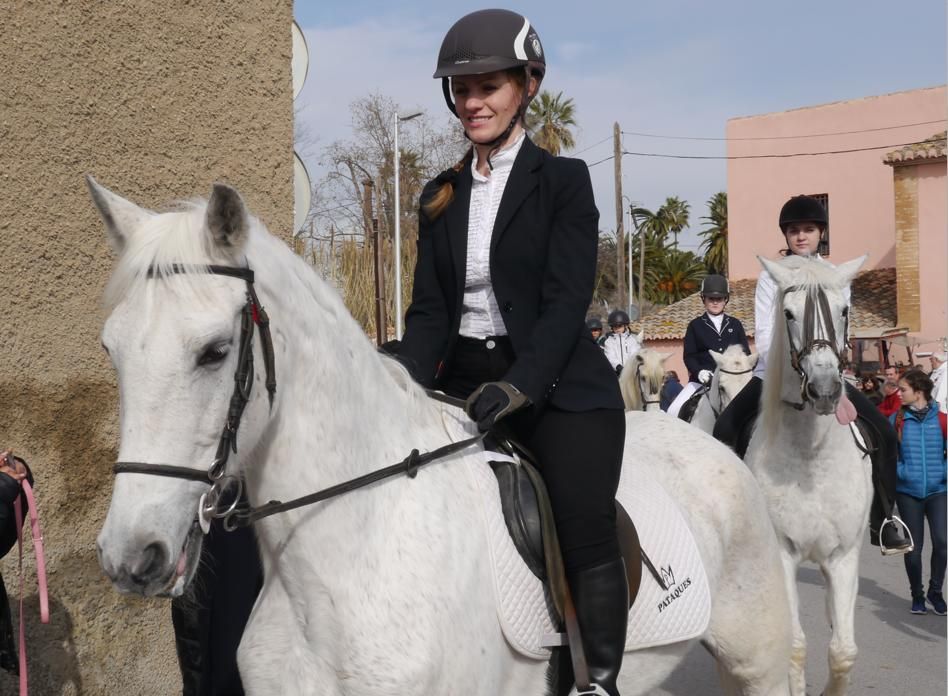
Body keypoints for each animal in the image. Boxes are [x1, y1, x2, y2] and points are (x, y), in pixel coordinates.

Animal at [744, 254, 872, 696]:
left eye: (845, 309)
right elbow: (795, 647)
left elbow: (844, 651)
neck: (811, 459)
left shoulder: (844, 557)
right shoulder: (783, 554)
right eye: (788, 313)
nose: (825, 390)